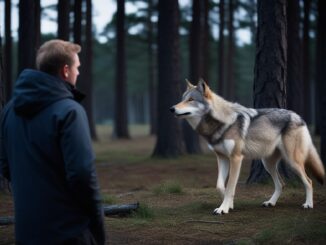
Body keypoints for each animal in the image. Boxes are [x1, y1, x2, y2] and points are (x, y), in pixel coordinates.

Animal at [169, 79, 324, 213]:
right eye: (182, 99)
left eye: (191, 100)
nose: (171, 108)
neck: (220, 123)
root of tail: (298, 116)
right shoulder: (222, 158)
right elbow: (220, 186)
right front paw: (229, 204)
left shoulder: (236, 158)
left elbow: (230, 186)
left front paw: (223, 209)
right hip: (267, 163)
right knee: (281, 184)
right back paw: (270, 202)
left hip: (292, 162)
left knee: (309, 181)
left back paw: (308, 204)